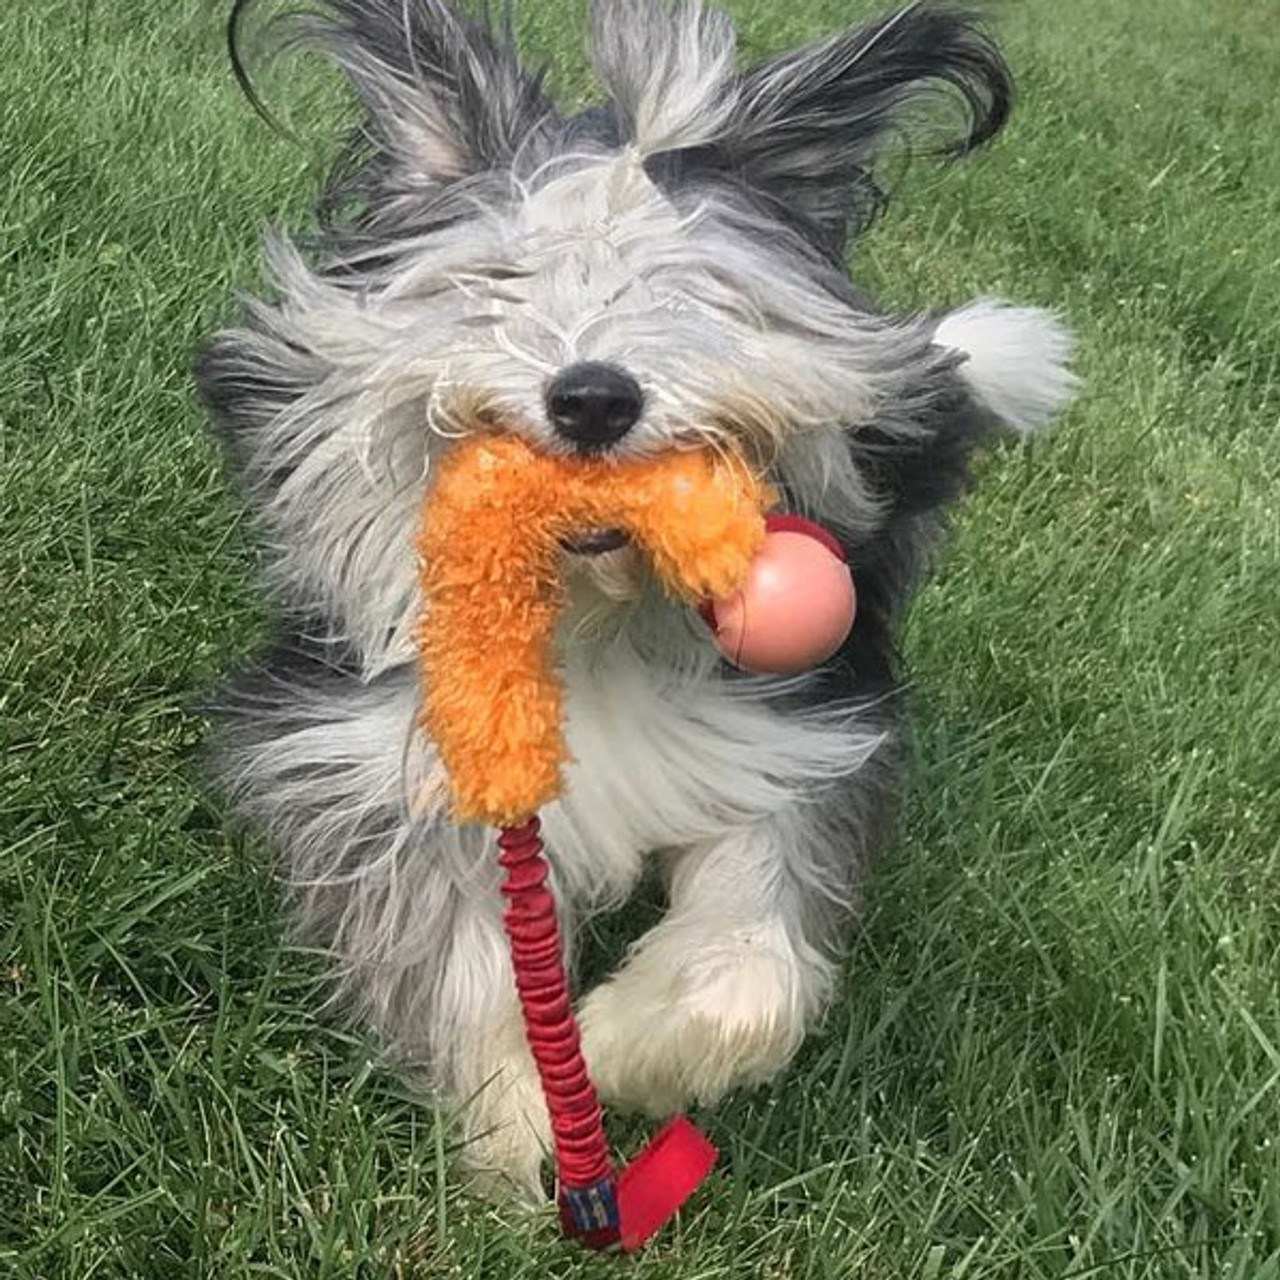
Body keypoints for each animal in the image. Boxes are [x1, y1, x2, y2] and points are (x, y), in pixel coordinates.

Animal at [199, 0, 1075, 1198]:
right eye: (502, 279)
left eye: (695, 291)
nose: (592, 396)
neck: (594, 618)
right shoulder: (371, 759)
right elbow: (464, 963)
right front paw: (524, 1141)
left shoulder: (792, 739)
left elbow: (755, 960)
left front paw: (621, 1048)